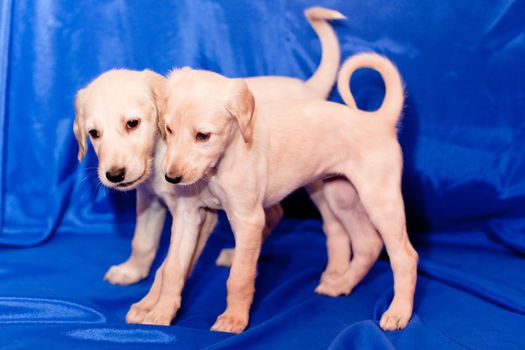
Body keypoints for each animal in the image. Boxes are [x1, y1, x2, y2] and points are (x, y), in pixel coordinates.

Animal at [158, 52, 420, 334]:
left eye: (203, 136)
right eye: (169, 130)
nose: (171, 177)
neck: (220, 164)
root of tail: (378, 121)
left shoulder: (249, 219)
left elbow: (239, 277)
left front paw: (233, 319)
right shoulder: (188, 215)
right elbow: (172, 268)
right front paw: (159, 312)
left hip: (380, 200)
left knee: (405, 256)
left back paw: (398, 312)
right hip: (341, 196)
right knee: (367, 243)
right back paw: (340, 285)